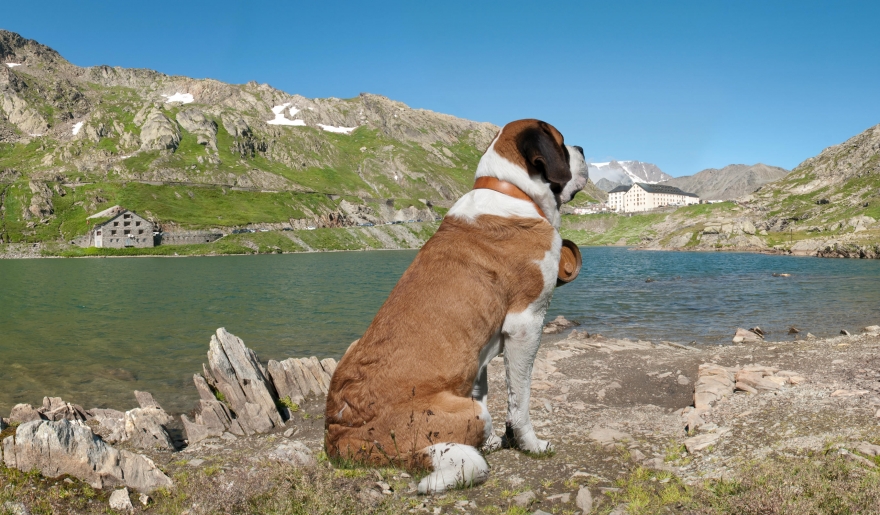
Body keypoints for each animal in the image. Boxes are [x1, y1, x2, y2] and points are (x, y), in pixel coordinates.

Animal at [325, 119, 589, 493]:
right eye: (562, 143)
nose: (581, 149)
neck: (513, 191)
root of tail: (340, 438)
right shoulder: (526, 322)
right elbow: (519, 397)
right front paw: (530, 444)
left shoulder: (479, 353)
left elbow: (482, 385)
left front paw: (496, 440)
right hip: (460, 415)